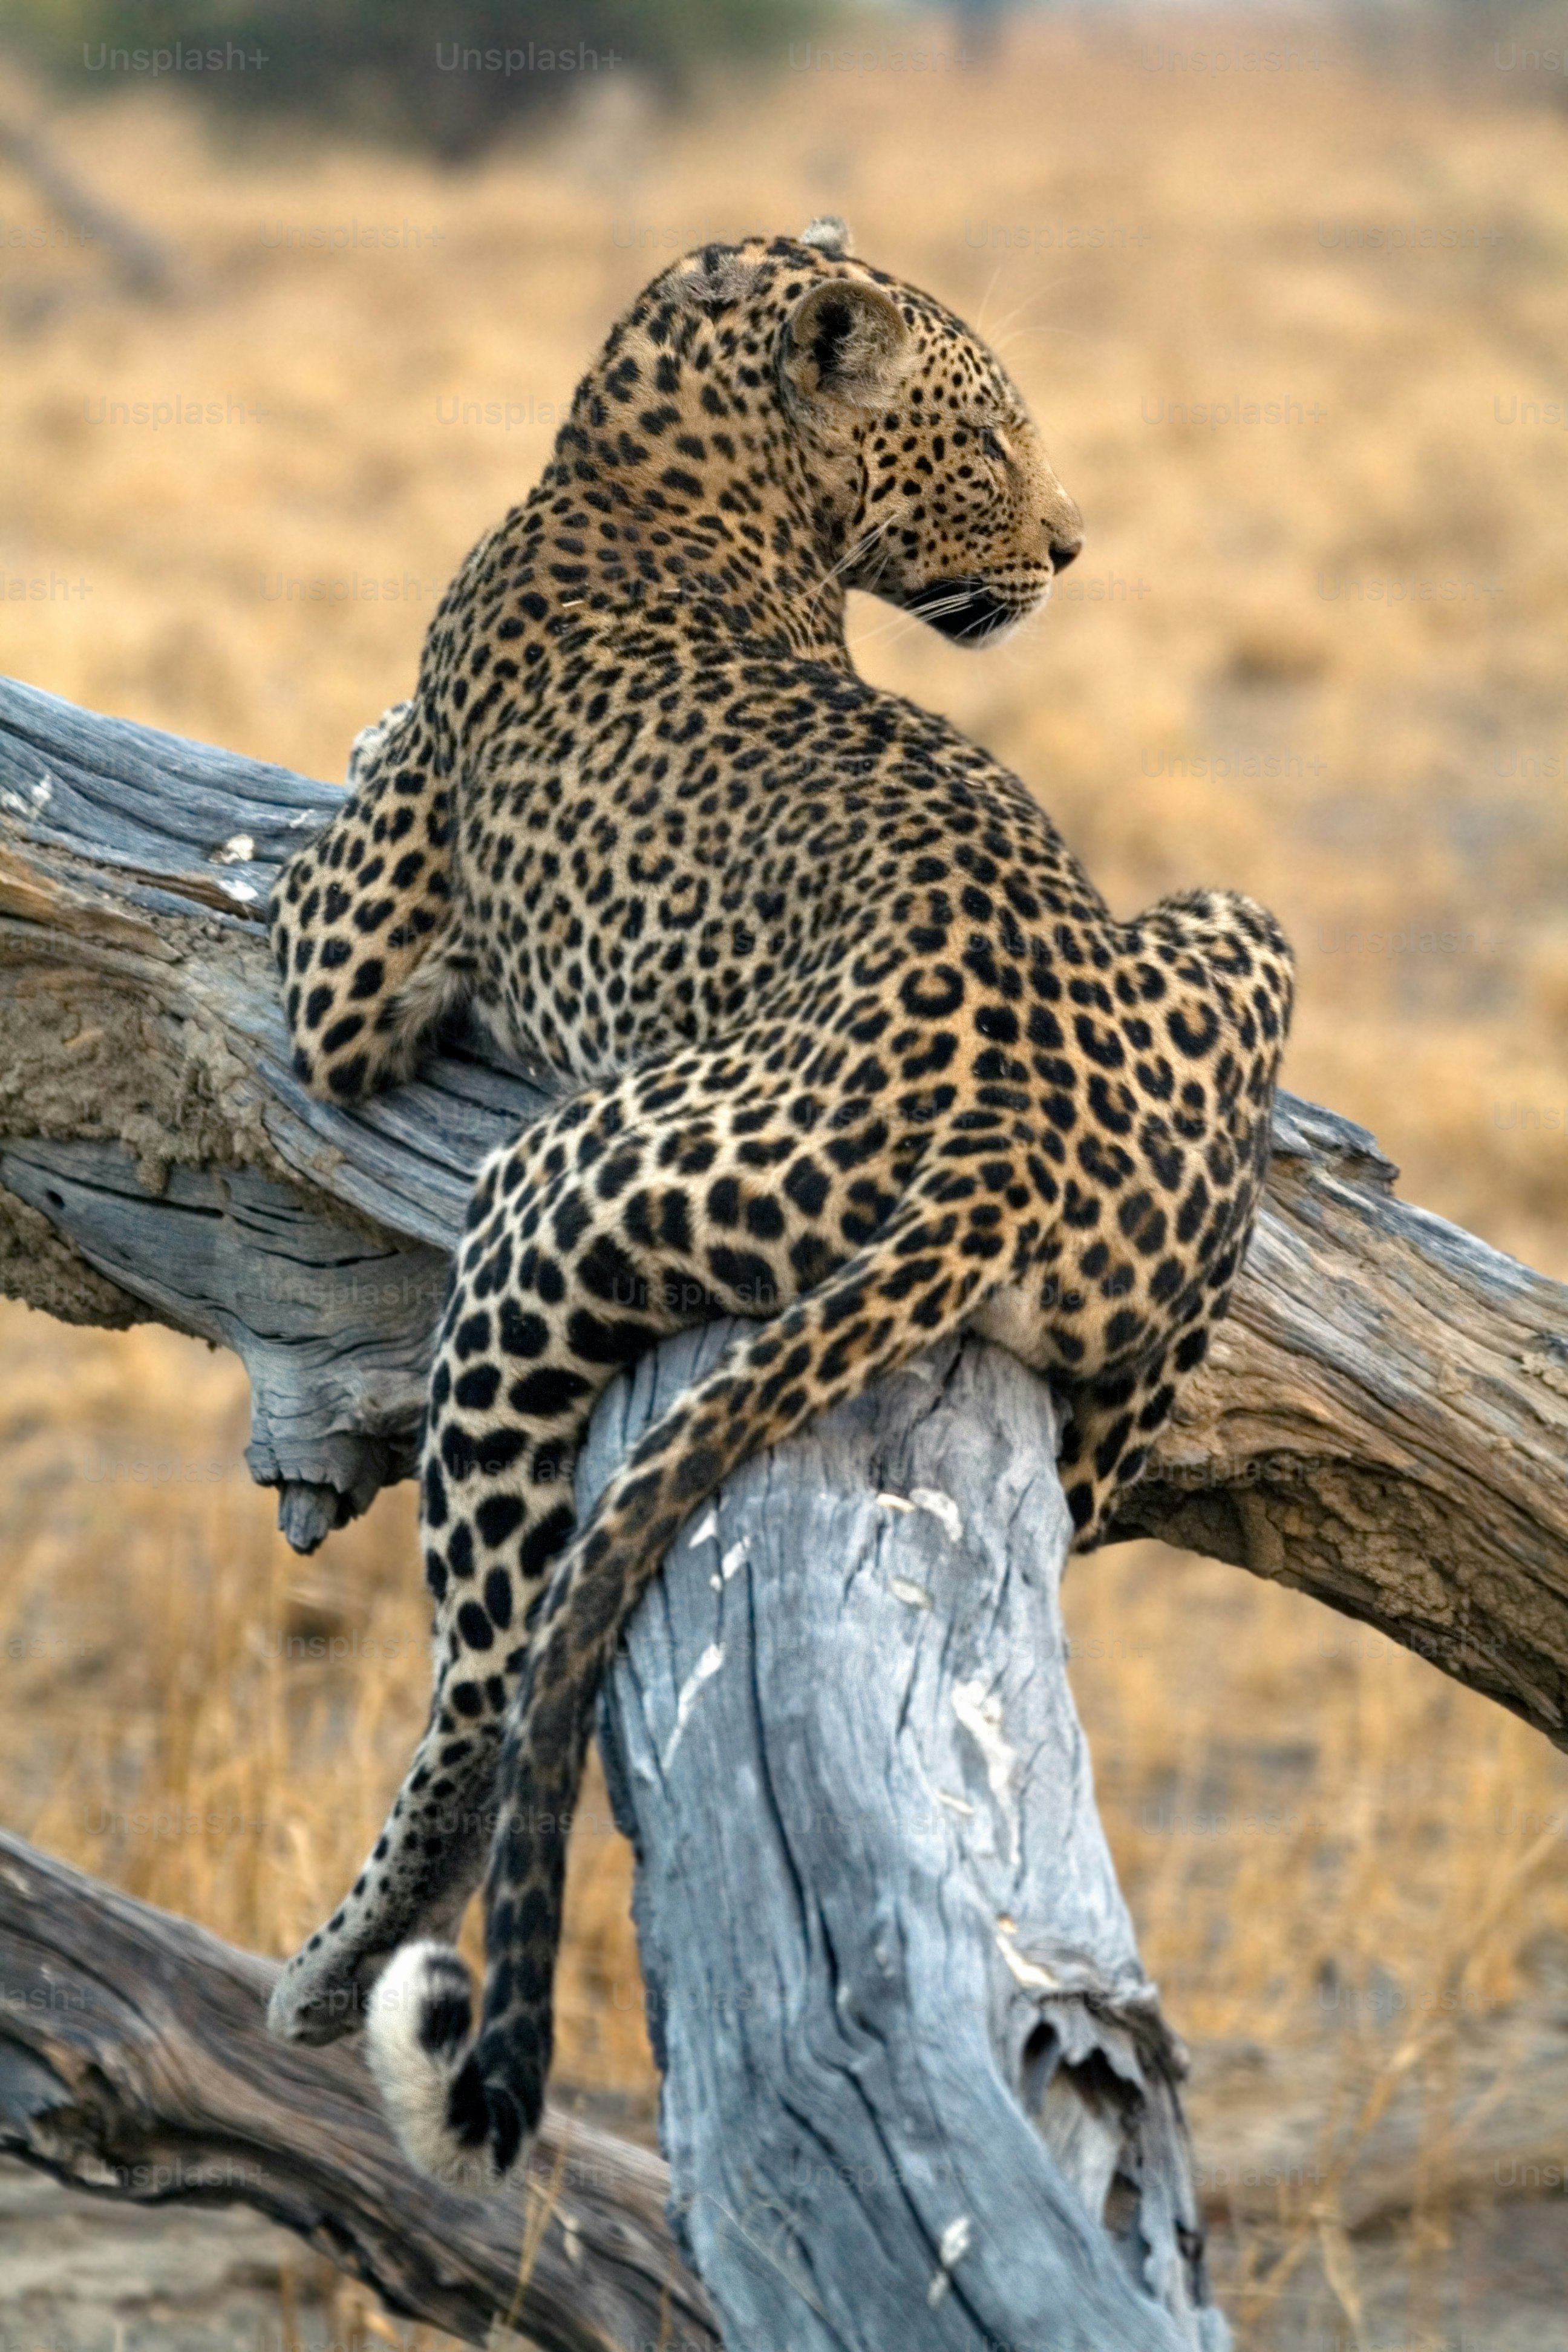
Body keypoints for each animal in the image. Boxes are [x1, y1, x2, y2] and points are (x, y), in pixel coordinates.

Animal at [263, 217, 1294, 2187]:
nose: (1072, 545)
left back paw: (347, 1956)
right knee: (1104, 1456)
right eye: (991, 439)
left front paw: (350, 735)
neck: (650, 457)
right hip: (1236, 931)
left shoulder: (339, 984)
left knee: (487, 1684)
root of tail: (1009, 1144)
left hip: (553, 1194)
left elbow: (318, 855)